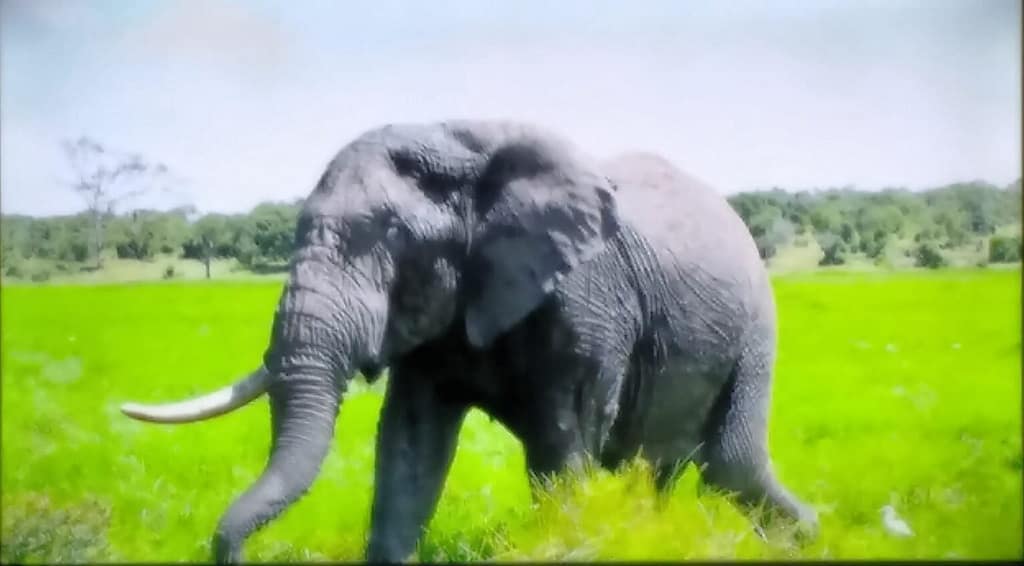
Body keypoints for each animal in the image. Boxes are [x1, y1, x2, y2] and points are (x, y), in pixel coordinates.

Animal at [120, 120, 818, 563]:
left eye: (389, 238)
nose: (232, 555)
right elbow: (410, 443)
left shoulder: (587, 302)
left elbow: (562, 447)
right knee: (666, 467)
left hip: (756, 330)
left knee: (729, 462)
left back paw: (806, 536)